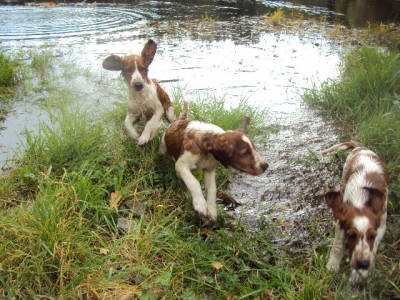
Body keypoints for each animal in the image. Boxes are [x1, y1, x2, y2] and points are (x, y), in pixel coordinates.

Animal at [322, 141, 388, 282]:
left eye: (372, 236)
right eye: (351, 235)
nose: (363, 264)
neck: (361, 202)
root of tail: (361, 147)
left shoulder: (381, 226)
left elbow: (373, 248)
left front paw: (359, 274)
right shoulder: (341, 224)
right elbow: (337, 247)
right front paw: (332, 266)